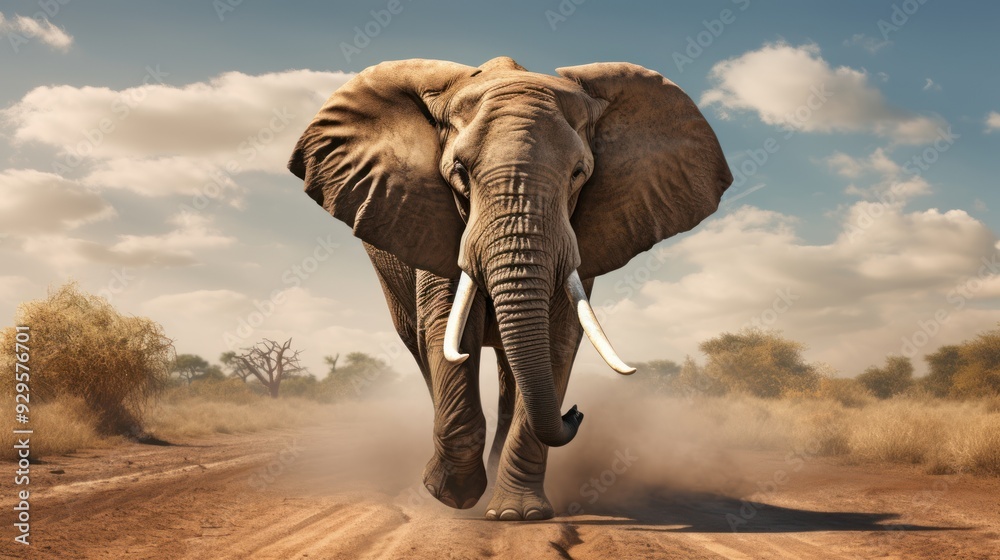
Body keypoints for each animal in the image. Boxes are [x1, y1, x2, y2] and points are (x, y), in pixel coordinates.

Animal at [288, 56, 732, 521]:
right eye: (459, 174)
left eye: (579, 174)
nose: (576, 412)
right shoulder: (431, 220)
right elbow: (448, 330)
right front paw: (453, 496)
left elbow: (558, 338)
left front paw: (518, 515)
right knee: (422, 346)